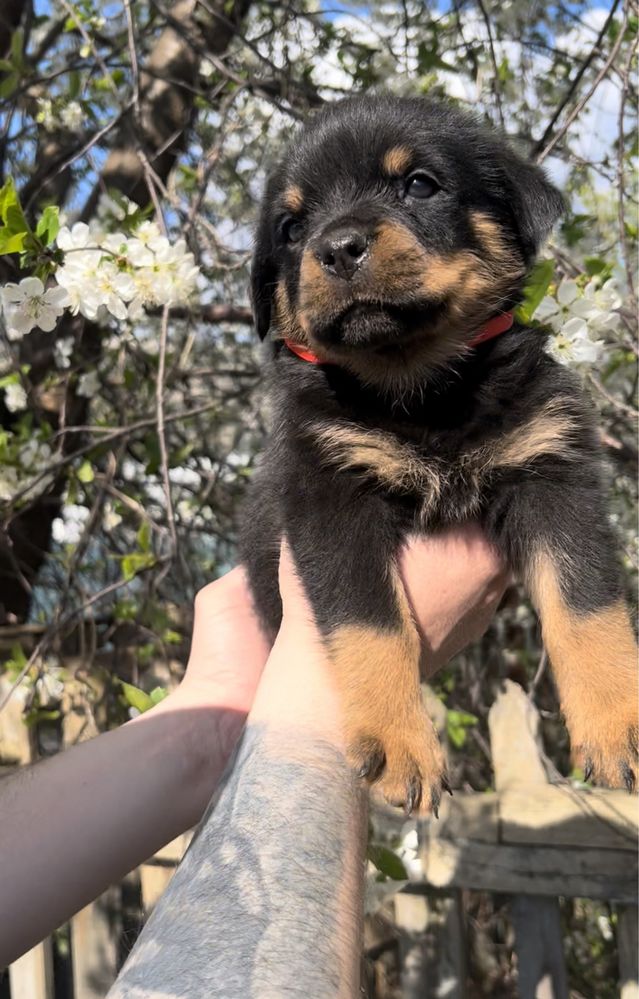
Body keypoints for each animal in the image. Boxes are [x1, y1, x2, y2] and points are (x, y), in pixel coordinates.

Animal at [240, 92, 639, 812]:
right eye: (290, 226)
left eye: (419, 185)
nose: (335, 247)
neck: (421, 390)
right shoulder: (330, 493)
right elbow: (369, 624)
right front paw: (399, 743)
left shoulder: (552, 468)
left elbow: (586, 603)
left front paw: (617, 720)